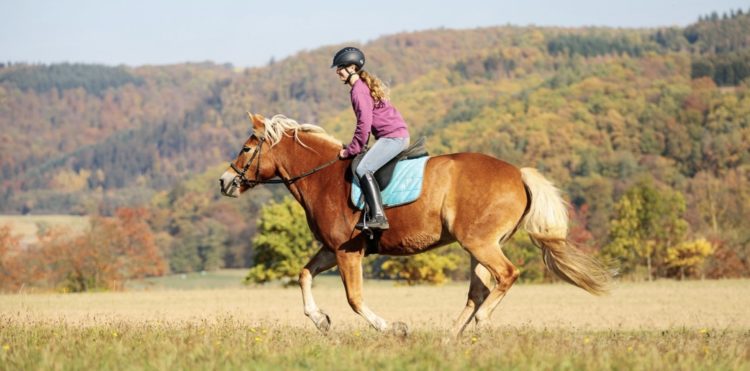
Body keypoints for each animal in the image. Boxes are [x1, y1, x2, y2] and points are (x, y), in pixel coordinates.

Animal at [220, 112, 612, 338]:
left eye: (245, 148)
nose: (225, 182)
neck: (323, 176)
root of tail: (517, 173)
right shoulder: (332, 249)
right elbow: (304, 275)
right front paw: (321, 321)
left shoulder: (348, 252)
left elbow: (354, 299)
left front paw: (393, 328)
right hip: (478, 246)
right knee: (479, 290)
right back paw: (451, 337)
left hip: (480, 243)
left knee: (506, 276)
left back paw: (480, 323)